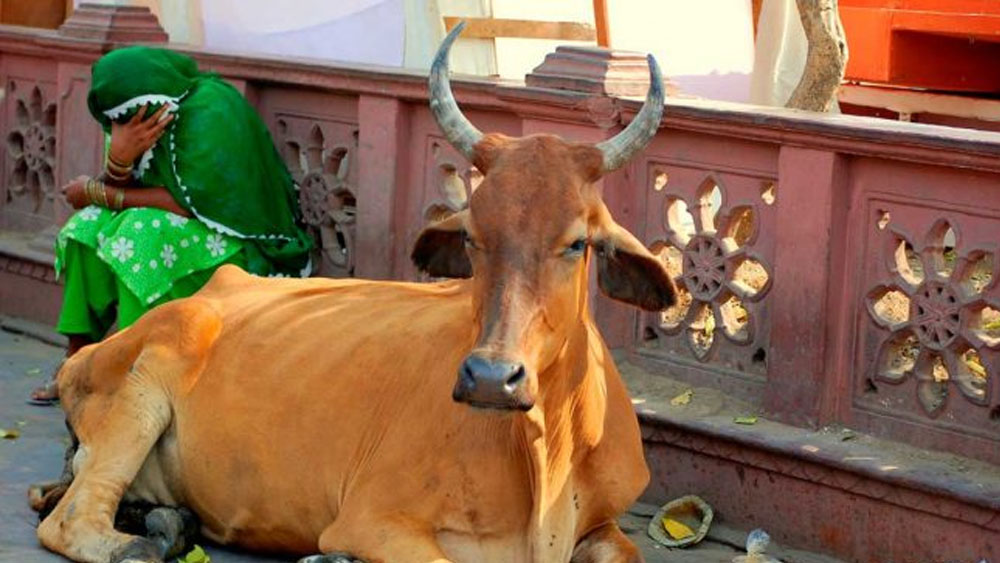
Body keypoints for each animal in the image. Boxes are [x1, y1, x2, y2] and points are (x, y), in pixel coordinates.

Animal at [33, 22, 675, 563]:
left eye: (577, 243)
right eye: (471, 236)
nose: (491, 378)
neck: (546, 450)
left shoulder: (604, 528)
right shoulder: (374, 522)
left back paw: (168, 522)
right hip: (143, 385)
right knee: (68, 519)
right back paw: (140, 543)